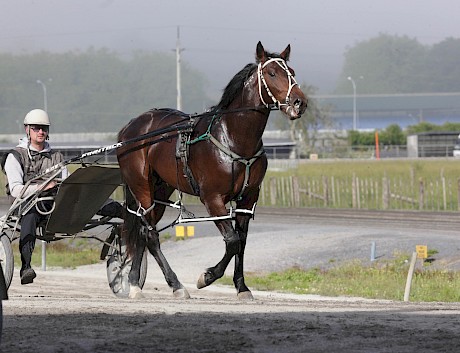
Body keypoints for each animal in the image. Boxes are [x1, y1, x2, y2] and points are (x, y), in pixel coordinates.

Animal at [117, 42, 308, 300]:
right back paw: (173, 285)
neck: (234, 138)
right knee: (150, 234)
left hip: (161, 189)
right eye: (271, 73)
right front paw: (206, 277)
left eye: (292, 72)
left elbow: (242, 242)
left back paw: (136, 282)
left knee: (142, 231)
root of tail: (130, 128)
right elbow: (232, 240)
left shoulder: (248, 199)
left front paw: (242, 287)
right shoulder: (213, 198)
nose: (299, 102)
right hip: (142, 187)